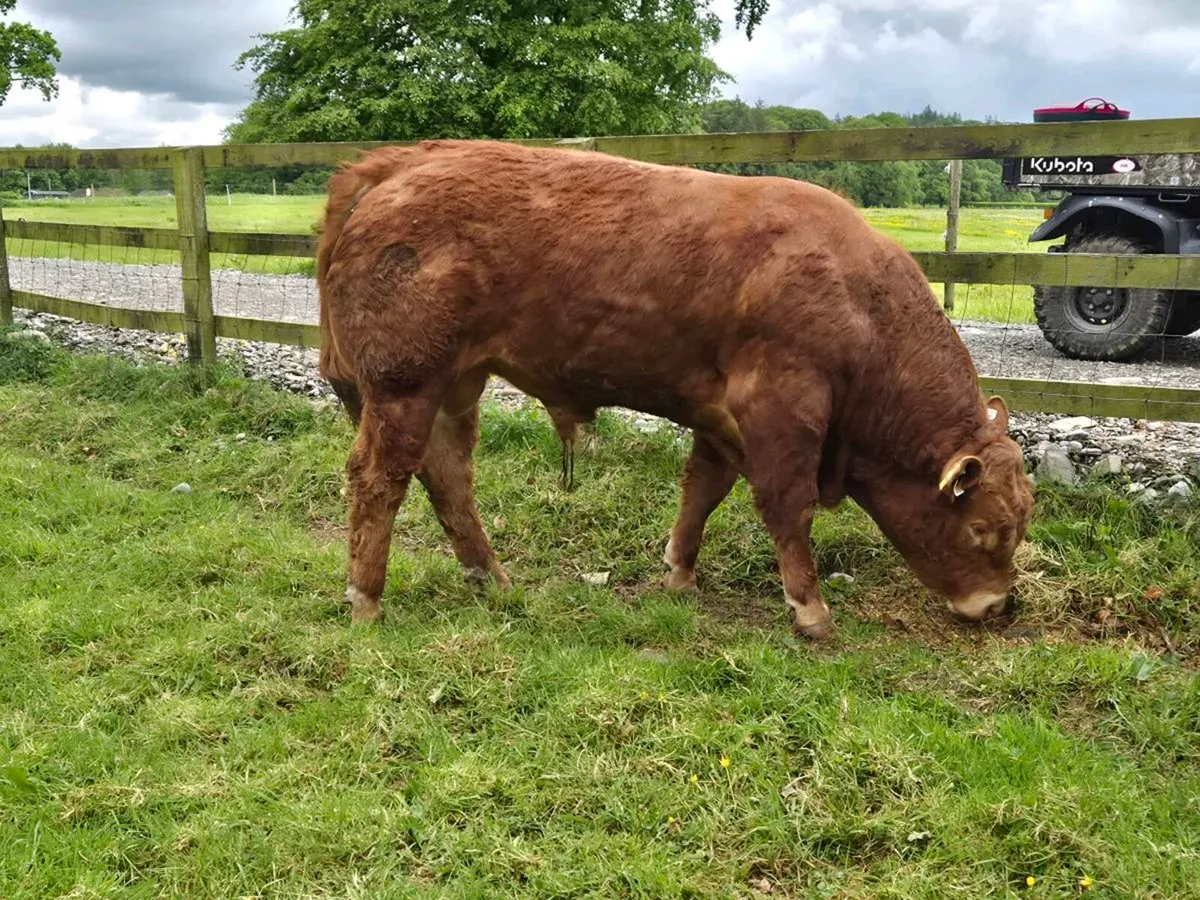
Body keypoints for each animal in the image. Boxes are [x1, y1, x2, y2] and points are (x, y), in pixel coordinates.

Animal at [316, 139, 1034, 640]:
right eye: (984, 529)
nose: (999, 606)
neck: (861, 307)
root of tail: (401, 161)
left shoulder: (721, 417)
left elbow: (702, 490)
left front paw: (680, 571)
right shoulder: (782, 410)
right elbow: (788, 507)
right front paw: (808, 607)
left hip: (456, 383)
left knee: (447, 474)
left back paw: (489, 576)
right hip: (405, 382)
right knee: (379, 478)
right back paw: (367, 599)